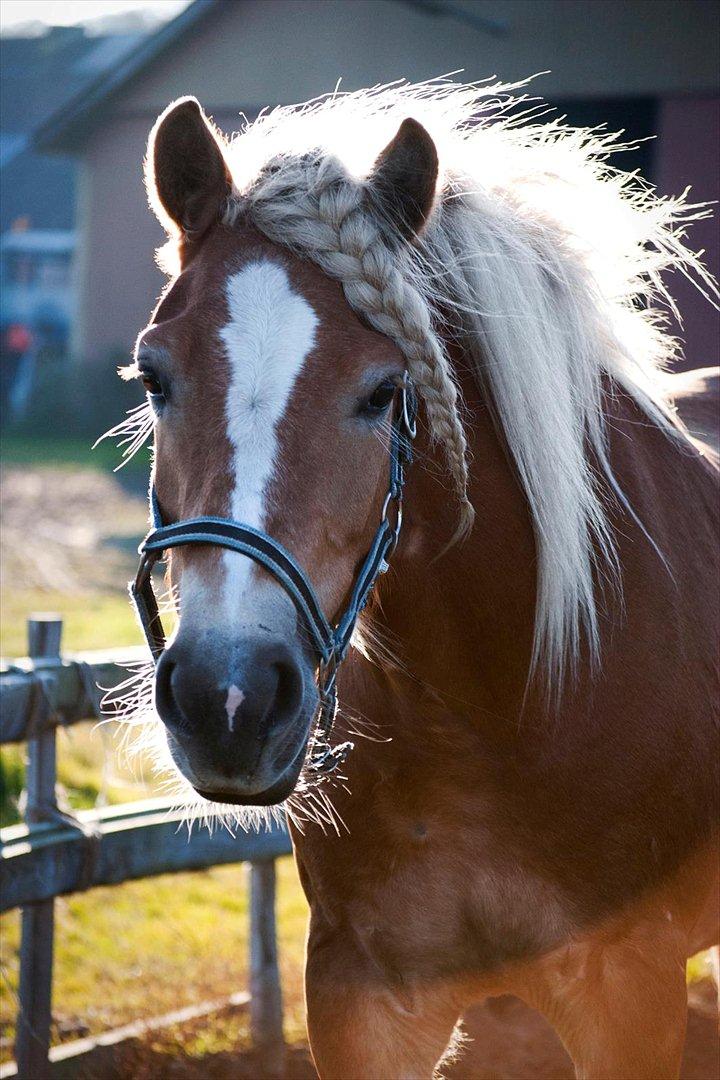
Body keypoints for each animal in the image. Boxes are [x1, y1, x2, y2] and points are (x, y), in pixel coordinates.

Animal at [113, 79, 720, 1075]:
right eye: (155, 377)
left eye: (382, 391)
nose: (227, 698)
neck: (496, 704)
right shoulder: (362, 996)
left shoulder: (630, 989)